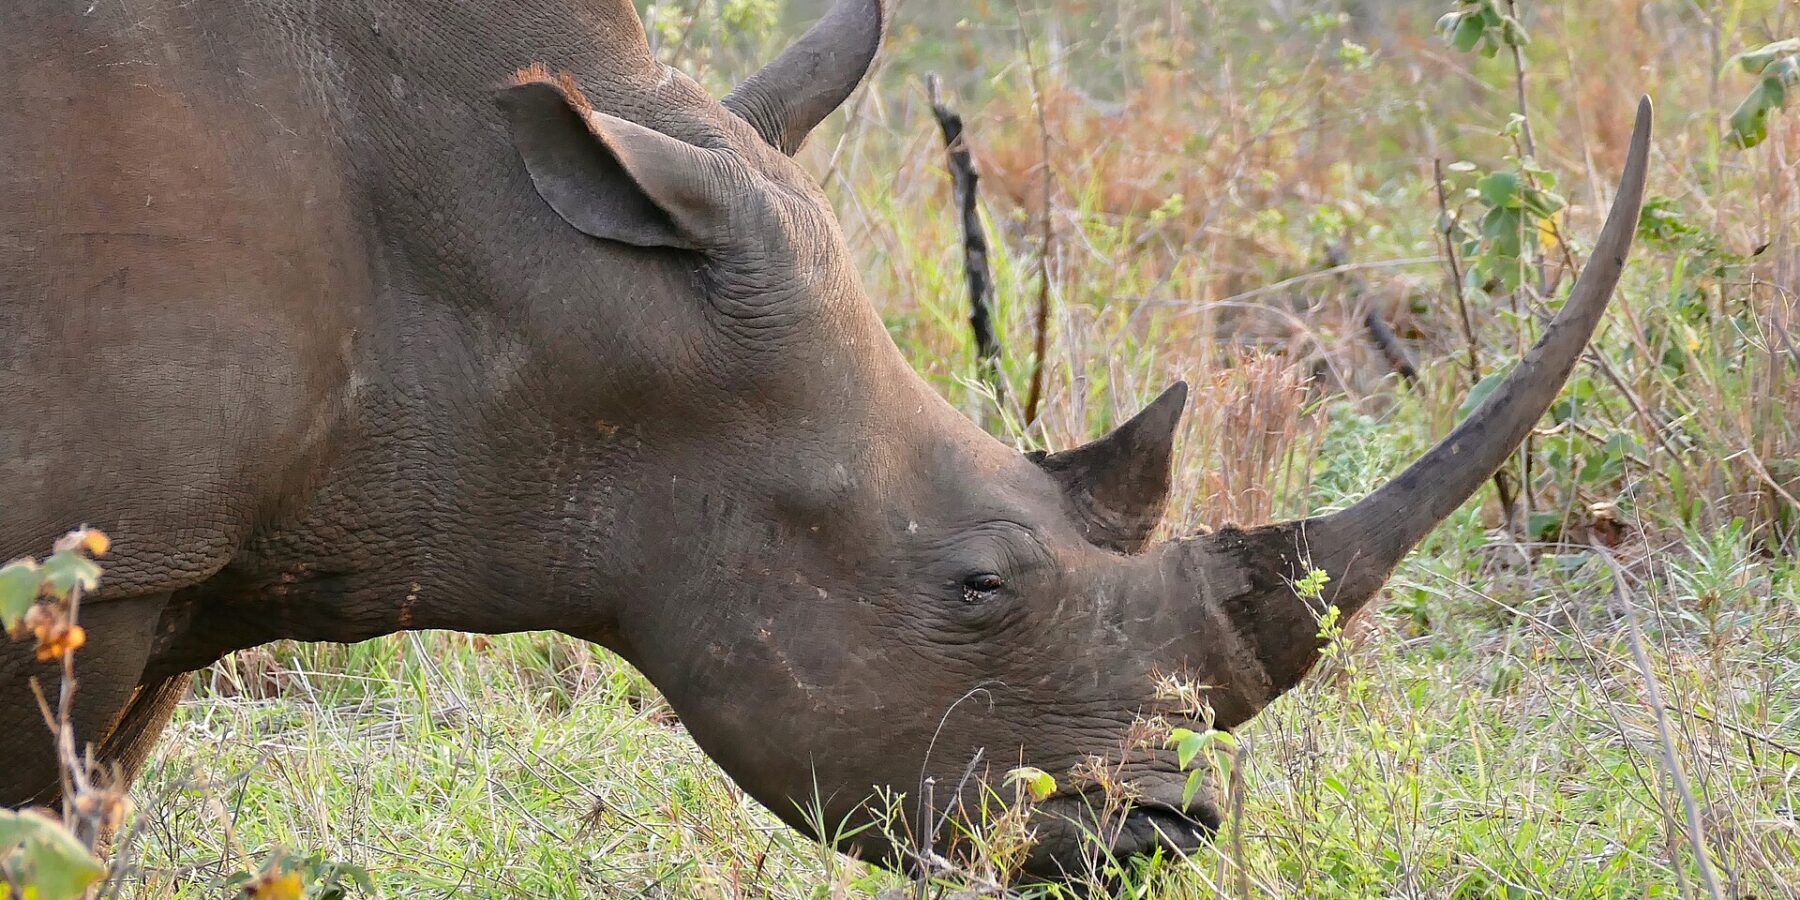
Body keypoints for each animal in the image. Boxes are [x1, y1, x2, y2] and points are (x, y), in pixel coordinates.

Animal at [0, 0, 1649, 881]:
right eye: (981, 587)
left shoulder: (183, 565)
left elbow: (91, 827)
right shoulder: (91, 568)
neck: (522, 265)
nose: (1164, 837)